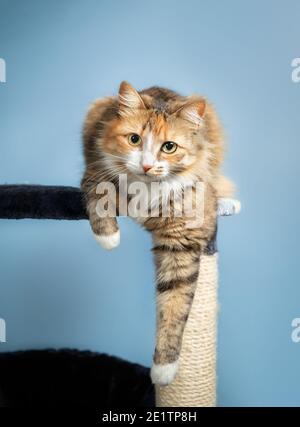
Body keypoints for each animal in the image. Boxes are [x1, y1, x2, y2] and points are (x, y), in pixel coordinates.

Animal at [81, 82, 234, 386]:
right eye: (134, 139)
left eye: (169, 147)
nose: (147, 166)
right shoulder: (96, 171)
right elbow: (100, 197)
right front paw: (109, 239)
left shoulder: (181, 243)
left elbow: (174, 308)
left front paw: (164, 371)